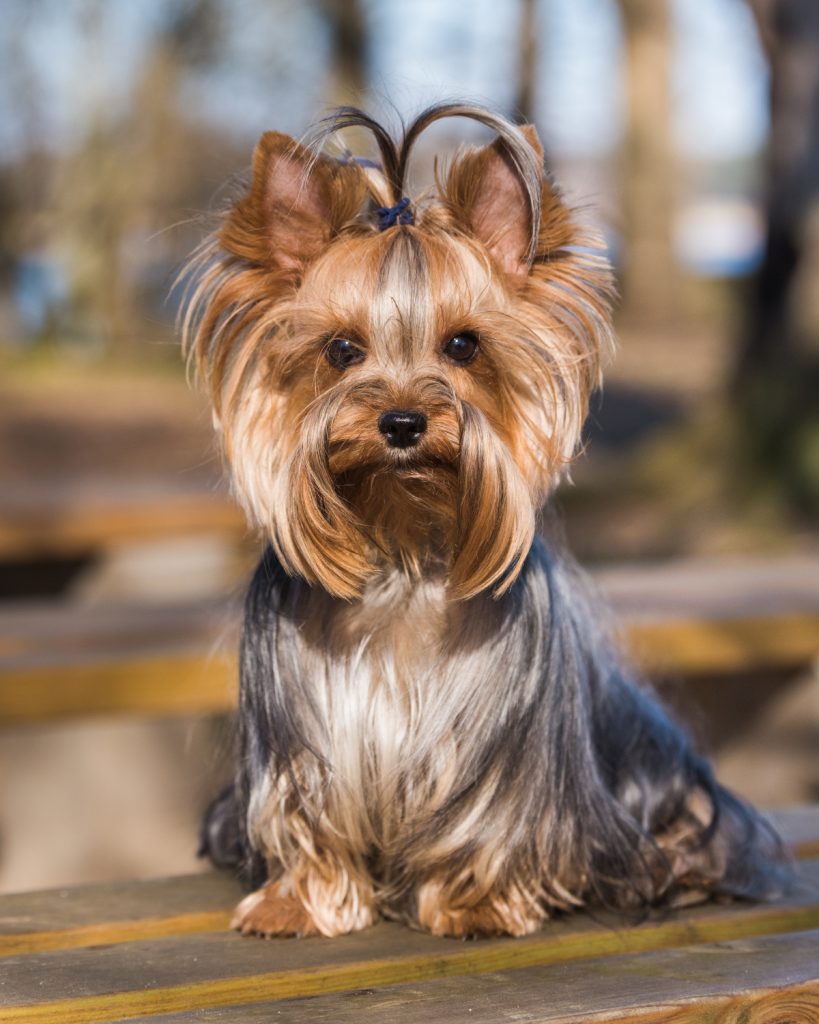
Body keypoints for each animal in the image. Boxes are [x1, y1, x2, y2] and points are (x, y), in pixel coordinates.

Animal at [182, 101, 790, 937]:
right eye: (340, 349)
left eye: (463, 344)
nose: (403, 422)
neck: (404, 548)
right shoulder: (300, 732)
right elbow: (308, 813)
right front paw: (296, 901)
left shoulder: (499, 752)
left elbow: (485, 818)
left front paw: (473, 904)